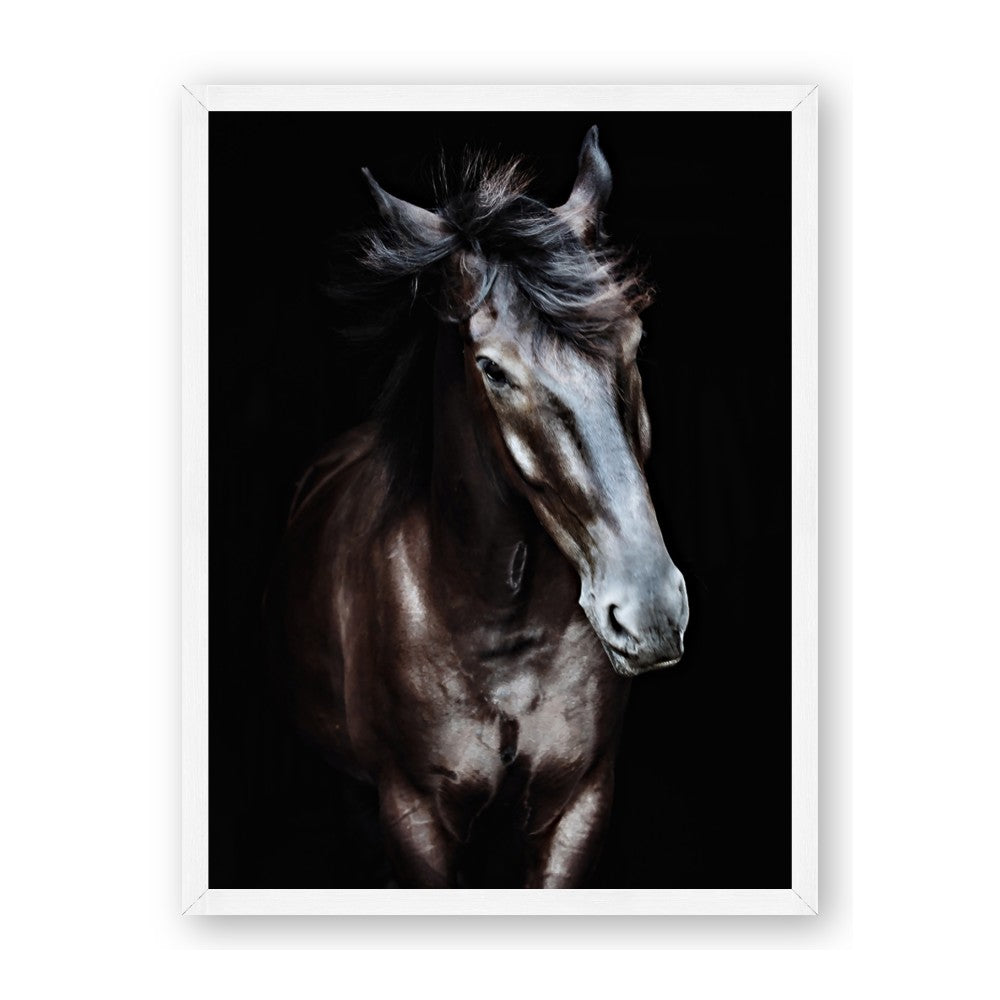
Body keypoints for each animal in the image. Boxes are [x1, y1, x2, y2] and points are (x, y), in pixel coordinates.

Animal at [264, 127, 689, 888]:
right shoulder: (414, 818)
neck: (497, 627)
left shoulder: (577, 806)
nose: (650, 611)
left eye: (634, 338)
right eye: (492, 368)